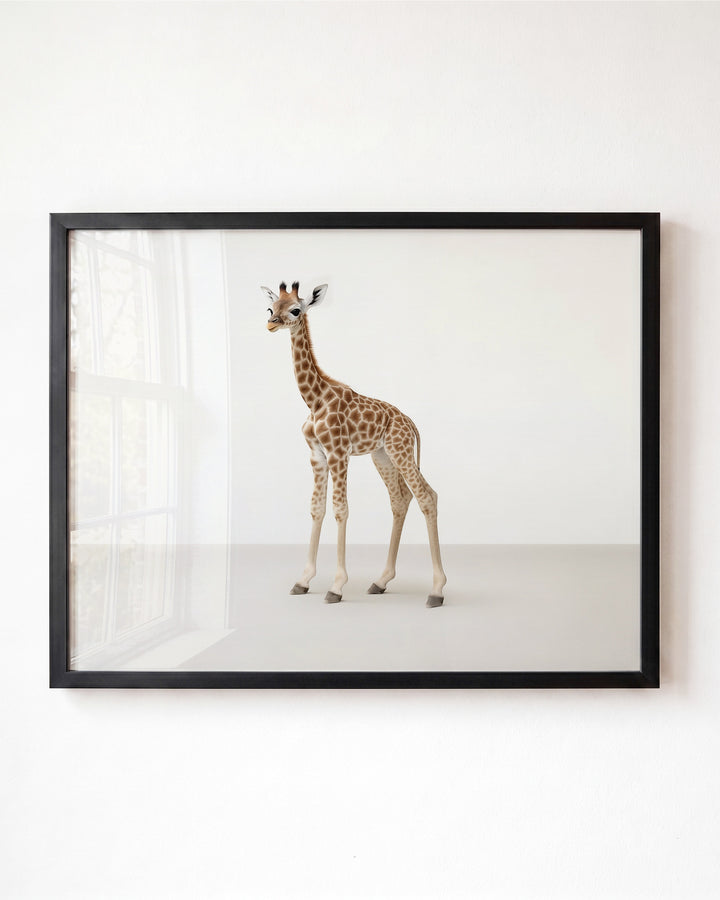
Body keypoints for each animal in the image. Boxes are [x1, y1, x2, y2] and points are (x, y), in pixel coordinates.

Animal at [262, 281, 446, 608]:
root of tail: (410, 422)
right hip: (383, 456)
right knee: (401, 500)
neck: (314, 400)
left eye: (295, 310)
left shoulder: (339, 453)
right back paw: (380, 581)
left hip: (400, 451)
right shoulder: (317, 455)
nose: (271, 324)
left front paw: (336, 586)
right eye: (271, 308)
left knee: (426, 496)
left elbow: (340, 509)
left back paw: (436, 591)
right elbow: (317, 508)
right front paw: (303, 581)